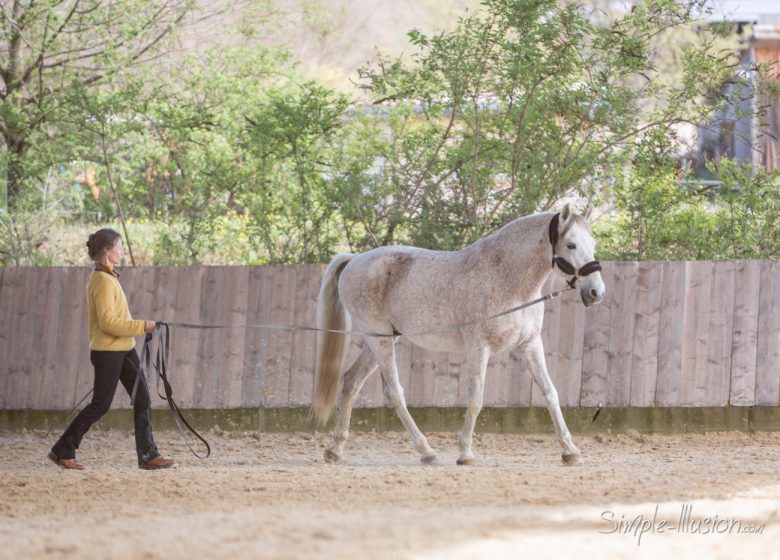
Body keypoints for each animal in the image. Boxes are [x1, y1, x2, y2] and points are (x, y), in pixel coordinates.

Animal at [310, 203, 604, 466]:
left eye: (592, 243)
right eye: (571, 245)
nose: (596, 292)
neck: (506, 278)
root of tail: (355, 259)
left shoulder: (530, 345)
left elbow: (550, 393)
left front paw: (570, 451)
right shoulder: (478, 346)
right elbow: (475, 398)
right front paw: (465, 453)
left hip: (382, 339)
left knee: (351, 382)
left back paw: (335, 449)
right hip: (379, 339)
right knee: (393, 391)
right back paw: (426, 451)